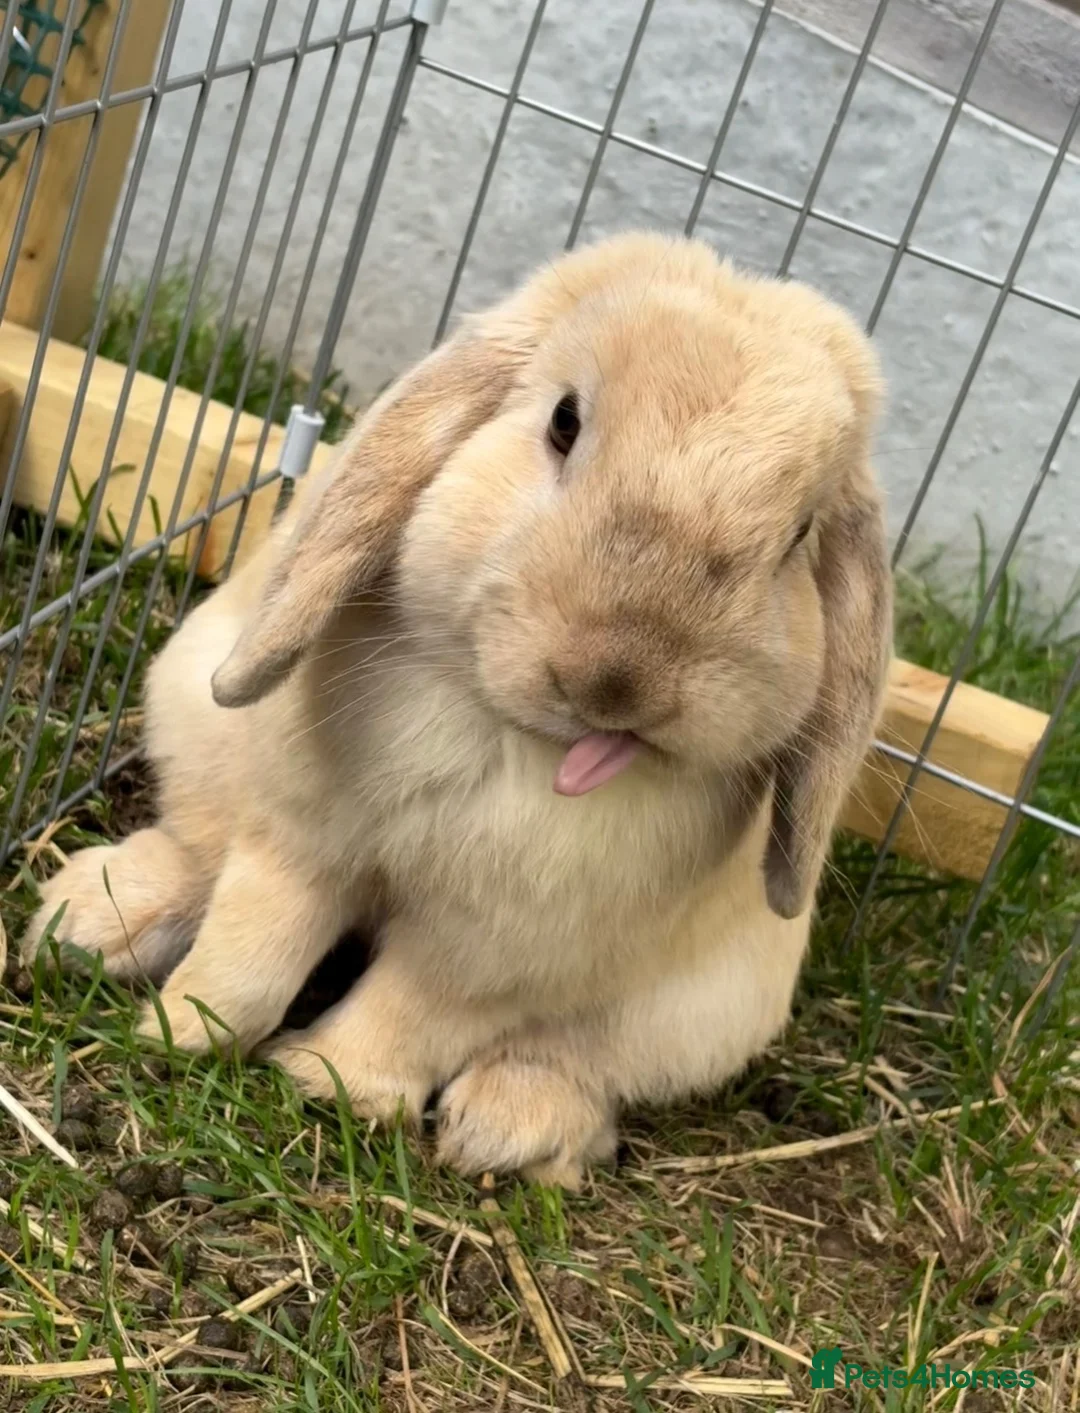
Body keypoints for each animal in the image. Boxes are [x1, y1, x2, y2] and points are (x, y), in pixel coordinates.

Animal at [22, 232, 892, 1187]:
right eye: (562, 421)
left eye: (800, 533)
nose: (620, 680)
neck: (509, 739)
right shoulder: (299, 839)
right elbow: (256, 941)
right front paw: (185, 1031)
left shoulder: (490, 952)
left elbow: (414, 1009)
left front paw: (331, 1084)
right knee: (195, 848)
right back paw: (93, 918)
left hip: (696, 1013)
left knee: (581, 1062)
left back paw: (514, 1128)